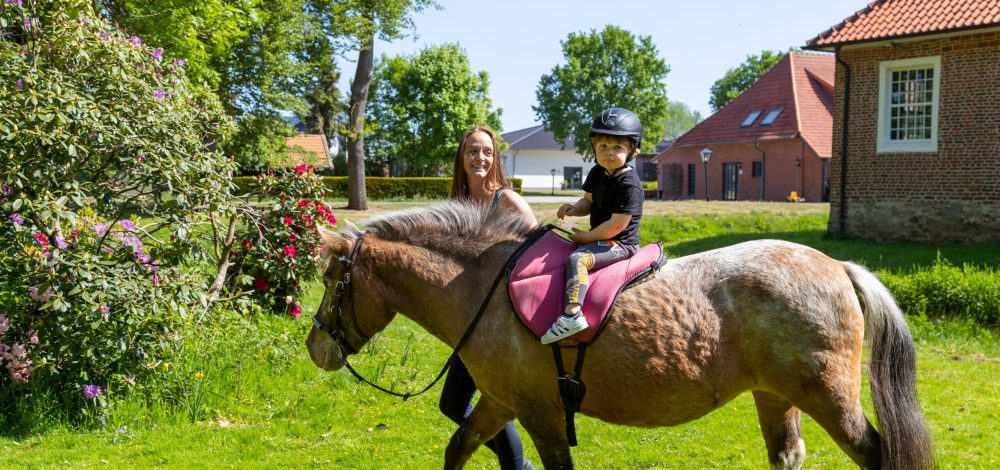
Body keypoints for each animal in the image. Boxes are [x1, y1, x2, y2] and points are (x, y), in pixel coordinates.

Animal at [305, 200, 933, 470]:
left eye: (333, 283)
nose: (315, 348)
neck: (487, 286)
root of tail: (837, 267)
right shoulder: (502, 402)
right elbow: (458, 447)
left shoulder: (541, 414)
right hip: (776, 396)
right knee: (787, 456)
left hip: (828, 397)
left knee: (876, 455)